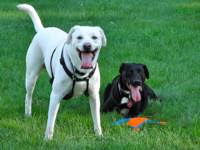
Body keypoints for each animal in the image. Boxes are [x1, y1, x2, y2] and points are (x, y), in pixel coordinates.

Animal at [17, 3, 106, 139]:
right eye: (79, 37)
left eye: (94, 37)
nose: (87, 45)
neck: (79, 70)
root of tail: (42, 30)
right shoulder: (55, 95)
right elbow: (50, 121)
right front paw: (47, 138)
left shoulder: (94, 96)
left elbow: (97, 119)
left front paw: (99, 135)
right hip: (31, 76)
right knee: (29, 95)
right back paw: (28, 114)